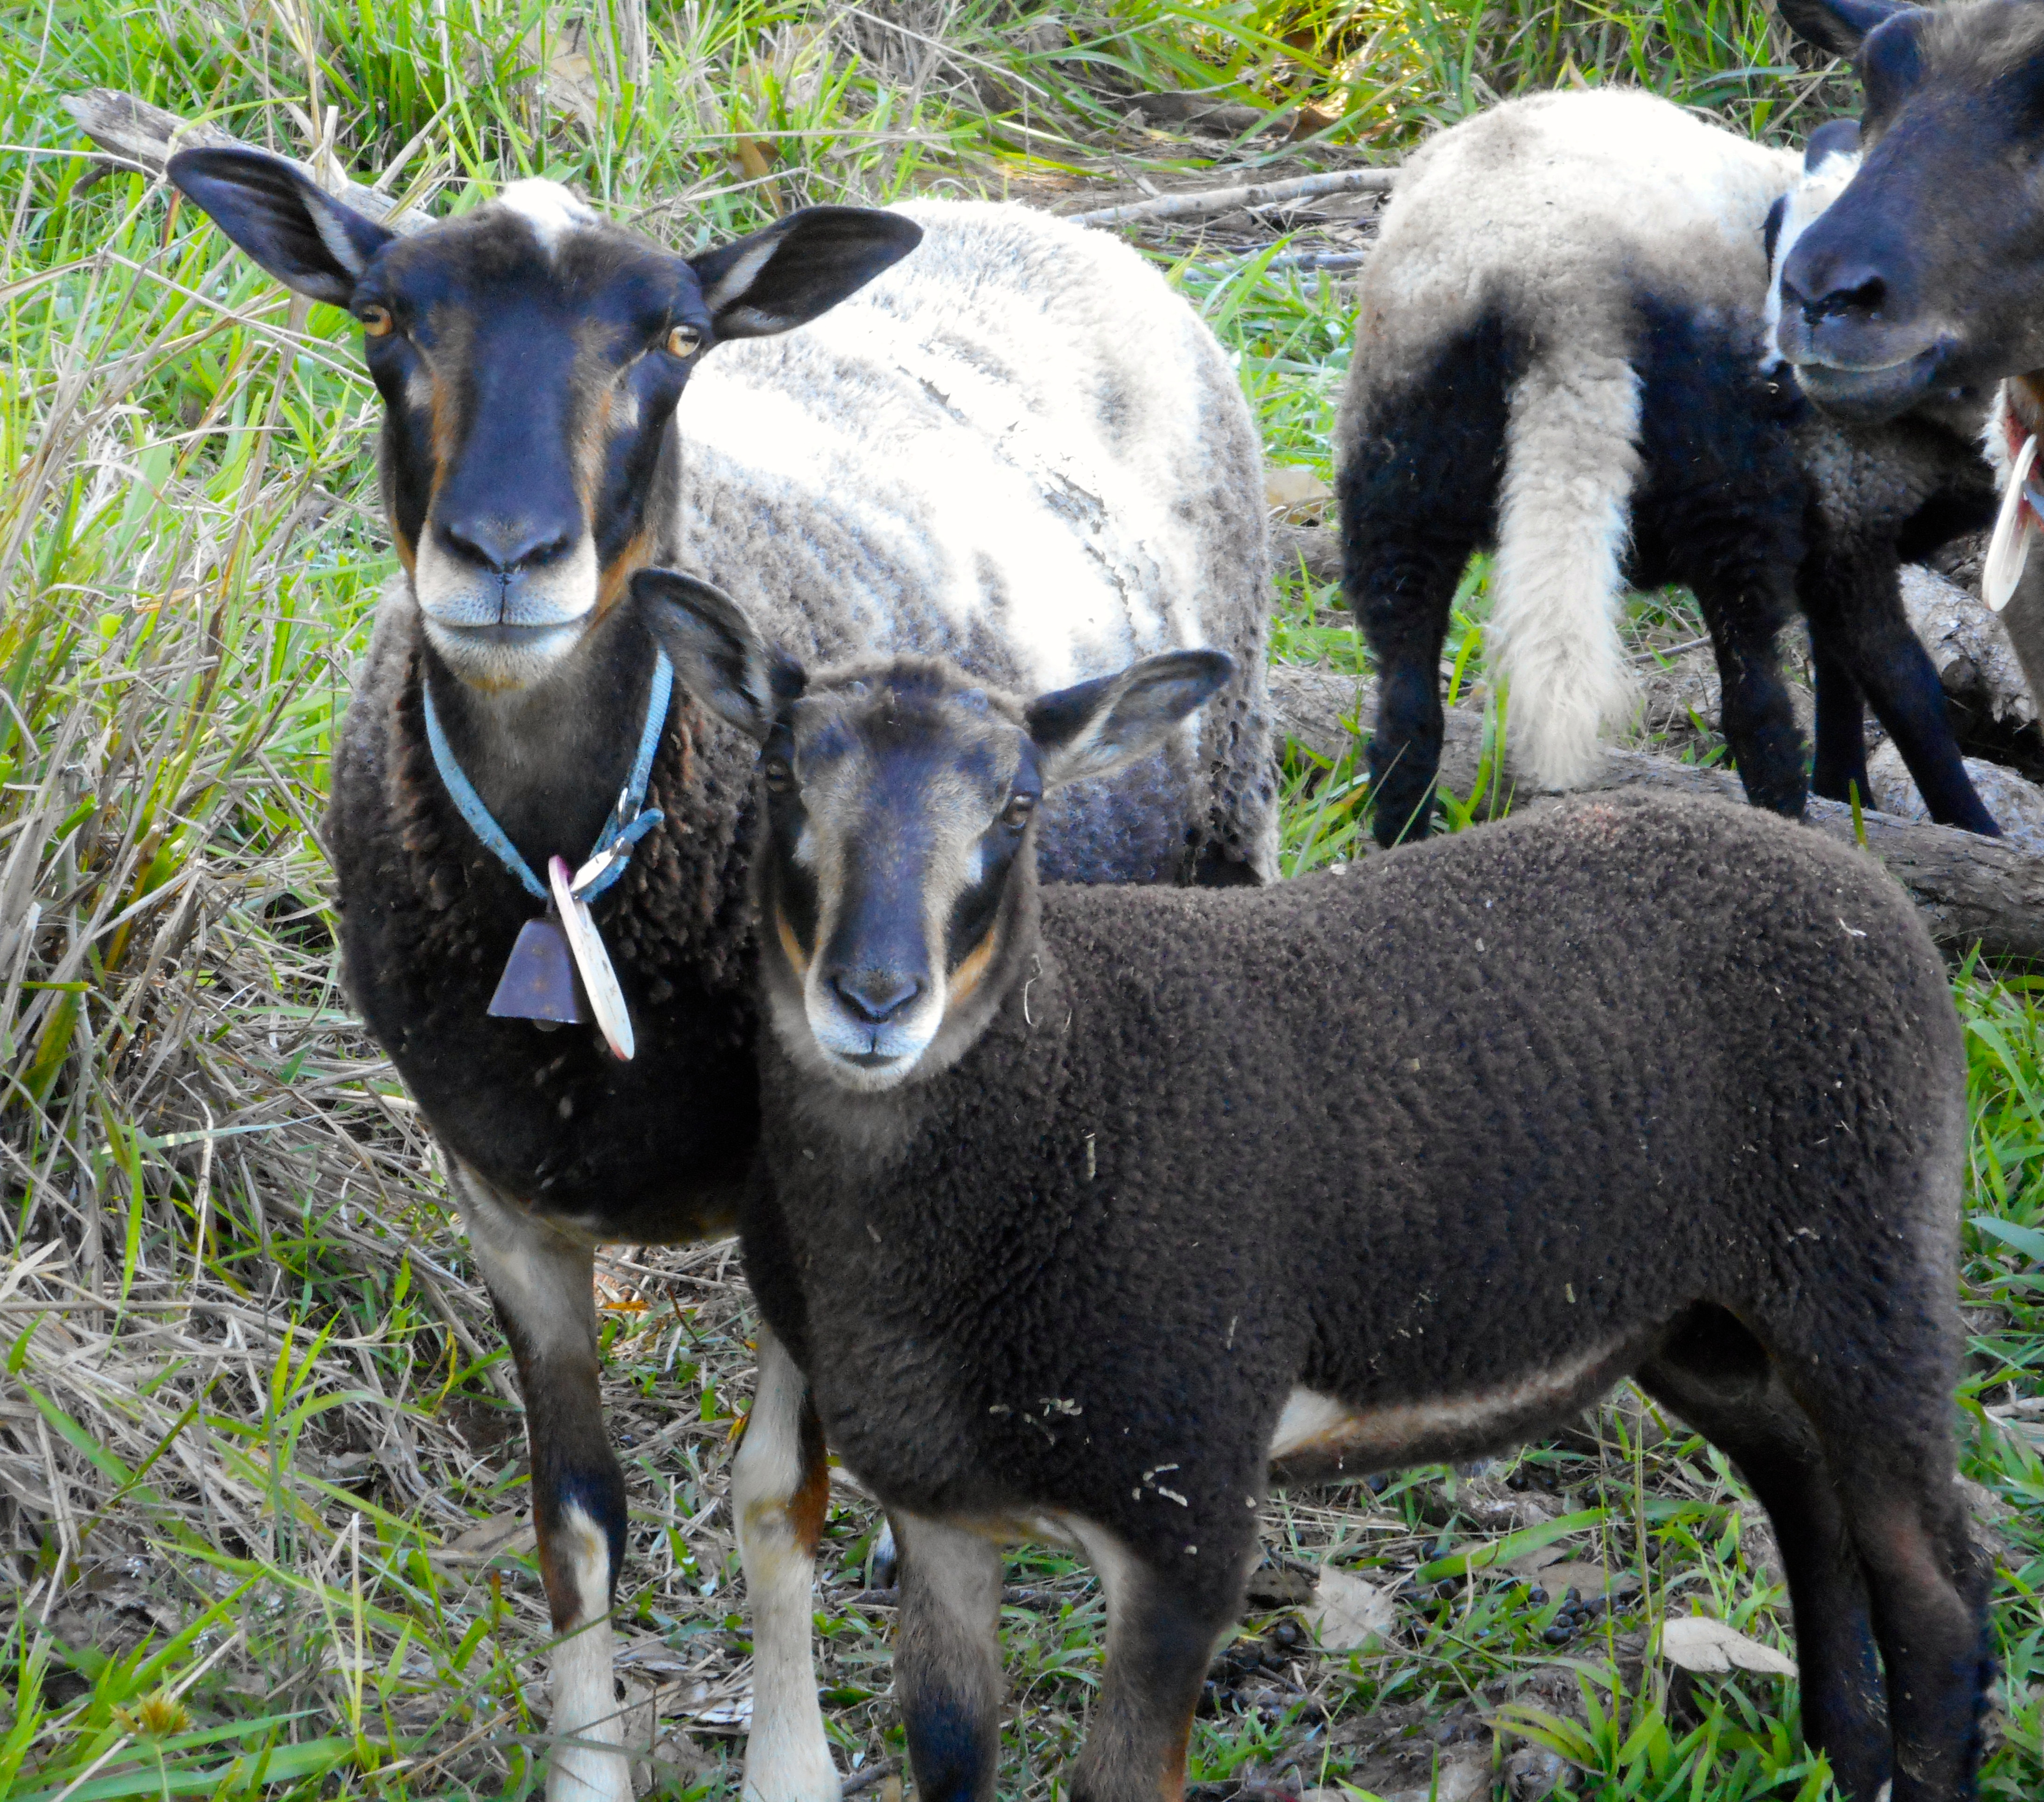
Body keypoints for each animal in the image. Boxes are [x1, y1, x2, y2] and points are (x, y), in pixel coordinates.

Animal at [641, 568, 1995, 1798]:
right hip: (1696, 1315)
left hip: (1869, 1263)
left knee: (1938, 1591)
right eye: (779, 777)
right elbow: (948, 1754)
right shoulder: (938, 1511)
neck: (1060, 1089)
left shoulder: (1186, 1524)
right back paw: (1843, 1752)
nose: (874, 1000)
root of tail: (1858, 878)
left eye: (1018, 807)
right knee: (1805, 1488)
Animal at [1341, 95, 1995, 854]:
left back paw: (1399, 844)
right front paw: (1974, 829)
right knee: (1757, 712)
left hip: (1399, 461)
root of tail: (1558, 279)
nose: (1784, 382)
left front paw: (1848, 792)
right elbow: (1900, 682)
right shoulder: (1844, 508)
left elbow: (1839, 668)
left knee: (1405, 708)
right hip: (1723, 481)